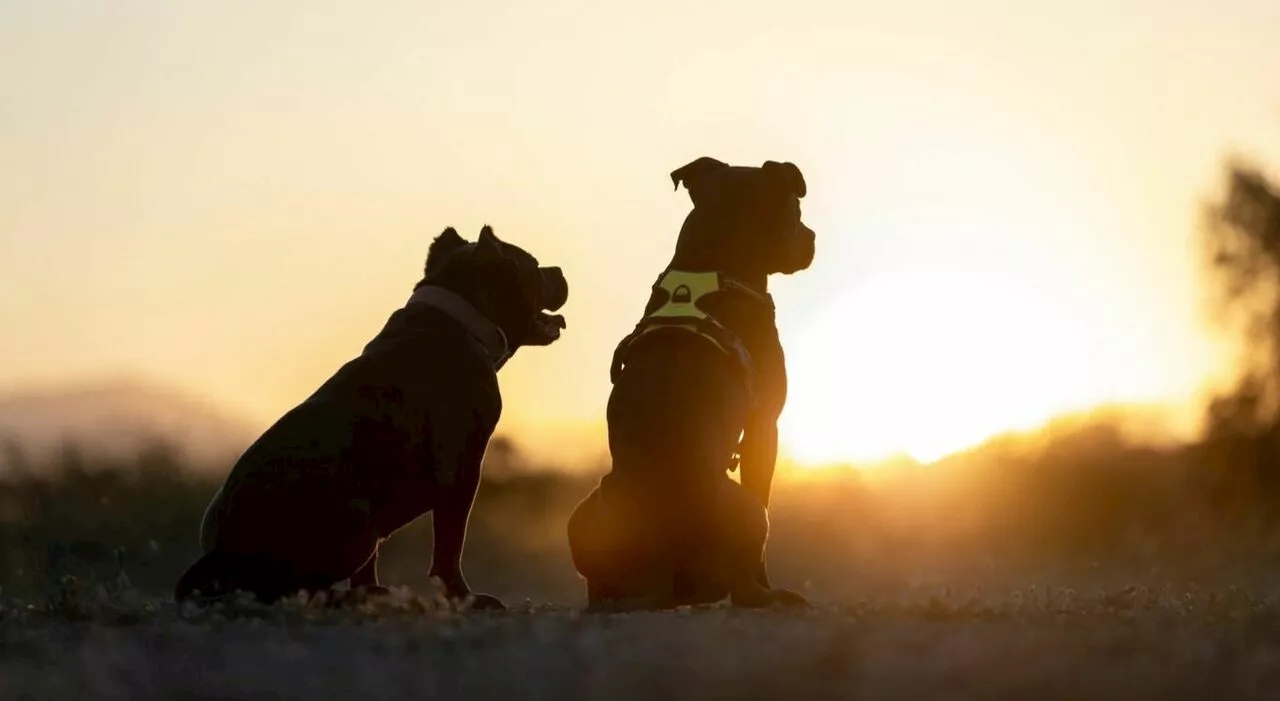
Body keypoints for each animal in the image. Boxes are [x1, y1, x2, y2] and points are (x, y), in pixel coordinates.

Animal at [176, 228, 570, 608]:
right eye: (533, 266)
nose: (559, 271)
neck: (461, 318)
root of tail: (223, 551)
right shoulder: (460, 472)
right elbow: (449, 545)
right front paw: (463, 596)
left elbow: (374, 564)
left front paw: (371, 586)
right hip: (359, 520)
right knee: (289, 588)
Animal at [568, 157, 814, 608]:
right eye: (796, 211)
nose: (812, 238)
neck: (712, 261)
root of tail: (656, 571)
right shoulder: (764, 427)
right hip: (749, 512)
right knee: (744, 583)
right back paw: (776, 595)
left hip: (584, 512)